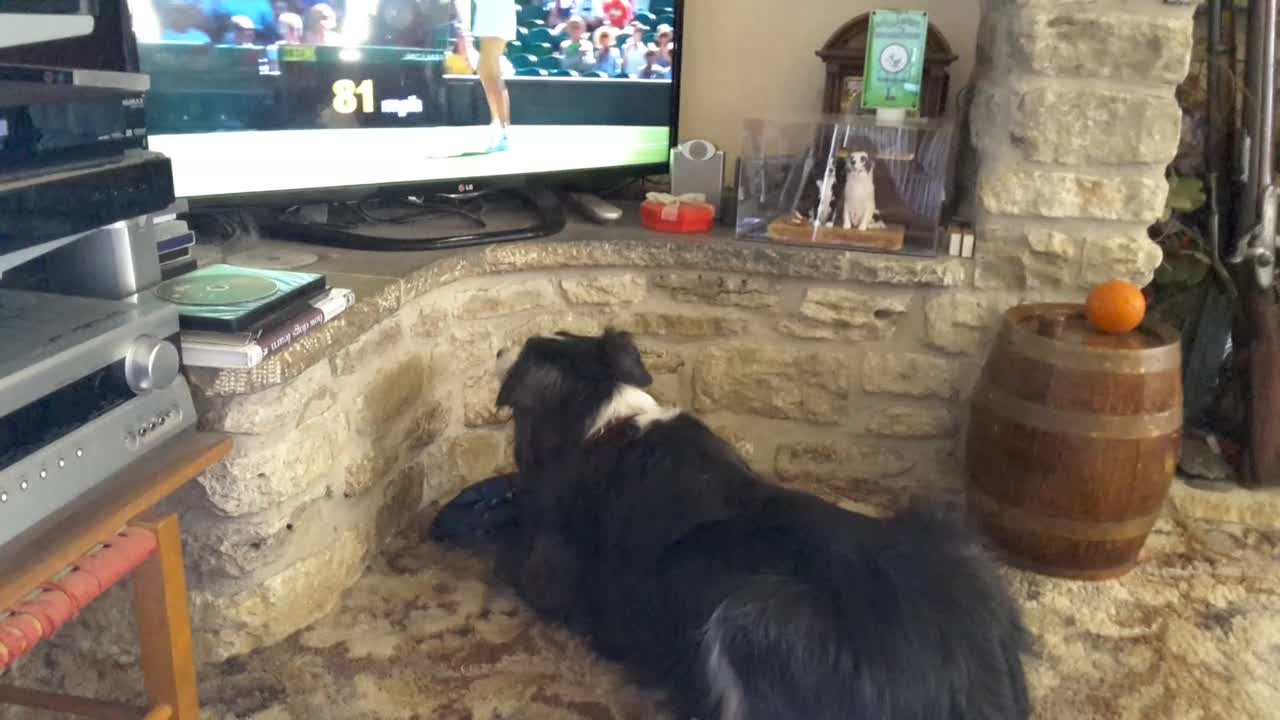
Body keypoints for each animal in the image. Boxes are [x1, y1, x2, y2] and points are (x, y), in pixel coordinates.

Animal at [450, 327, 1029, 712]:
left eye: (528, 346)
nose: (497, 346)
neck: (605, 417)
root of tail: (960, 680)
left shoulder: (546, 574)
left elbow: (509, 555)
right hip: (953, 541)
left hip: (753, 615)